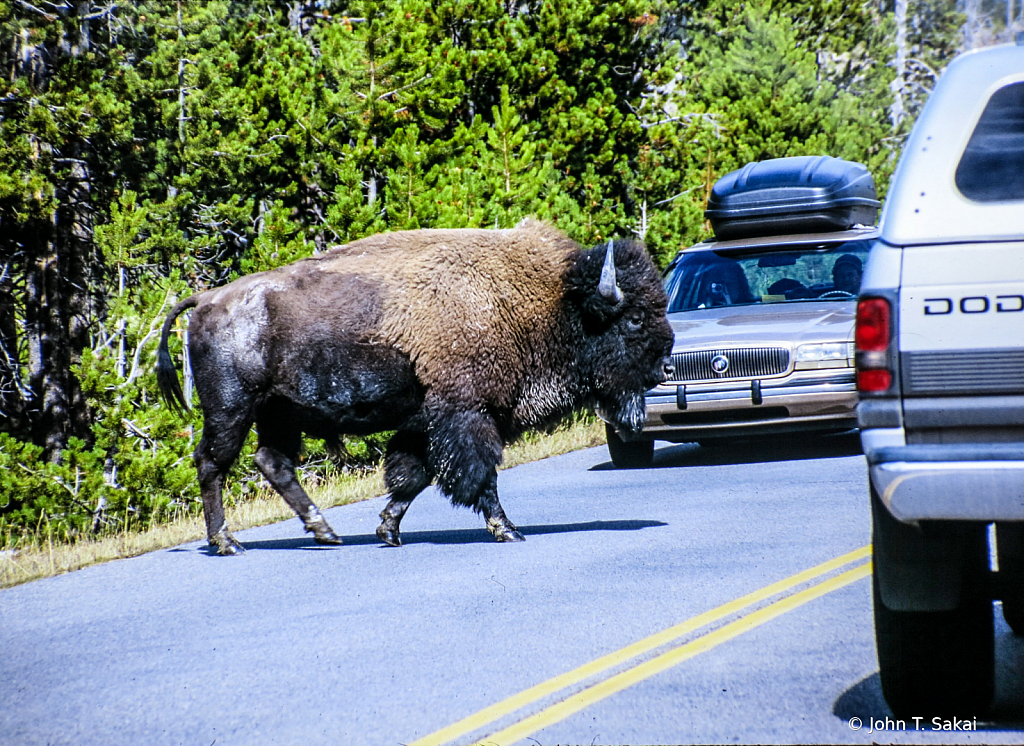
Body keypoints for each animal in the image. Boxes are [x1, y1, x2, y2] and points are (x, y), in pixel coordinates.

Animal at [157, 220, 671, 552]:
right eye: (635, 318)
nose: (665, 365)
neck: (549, 304)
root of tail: (207, 299)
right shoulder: (467, 416)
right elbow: (478, 475)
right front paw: (508, 530)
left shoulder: (427, 423)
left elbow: (413, 476)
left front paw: (388, 531)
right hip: (231, 409)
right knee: (212, 463)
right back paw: (227, 542)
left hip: (278, 413)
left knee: (272, 461)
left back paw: (325, 532)